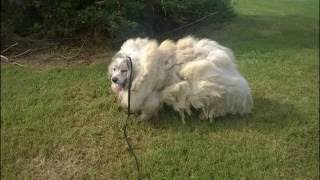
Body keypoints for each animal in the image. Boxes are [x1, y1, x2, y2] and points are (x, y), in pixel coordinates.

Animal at [109, 35, 254, 123]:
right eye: (114, 69)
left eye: (124, 70)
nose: (114, 79)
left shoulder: (153, 95)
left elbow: (148, 108)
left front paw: (142, 118)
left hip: (210, 89)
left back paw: (205, 115)